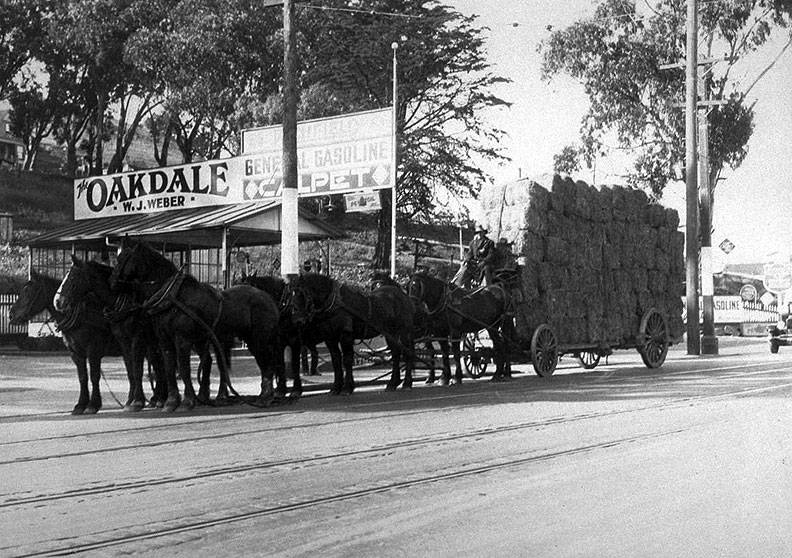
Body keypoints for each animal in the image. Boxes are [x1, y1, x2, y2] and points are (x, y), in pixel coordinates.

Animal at [9, 266, 121, 416]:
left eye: (27, 291)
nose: (11, 315)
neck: (81, 317)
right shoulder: (76, 353)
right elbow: (82, 377)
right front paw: (80, 405)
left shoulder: (93, 351)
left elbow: (94, 376)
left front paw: (93, 405)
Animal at [110, 238, 284, 414]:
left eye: (124, 259)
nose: (113, 283)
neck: (172, 296)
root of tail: (269, 299)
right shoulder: (165, 340)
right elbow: (169, 368)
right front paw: (171, 401)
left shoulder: (182, 340)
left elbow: (184, 369)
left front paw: (187, 401)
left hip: (257, 340)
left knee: (267, 363)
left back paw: (265, 397)